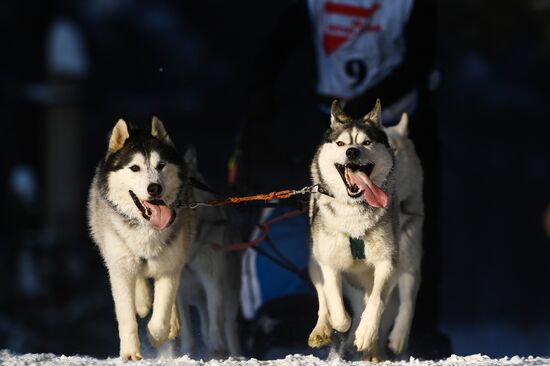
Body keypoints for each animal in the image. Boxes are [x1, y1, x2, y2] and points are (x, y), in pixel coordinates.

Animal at [87, 117, 197, 360]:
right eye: (134, 168)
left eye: (161, 165)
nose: (154, 188)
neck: (147, 228)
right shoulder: (119, 268)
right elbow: (126, 316)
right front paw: (130, 352)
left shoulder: (169, 266)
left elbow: (162, 311)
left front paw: (156, 336)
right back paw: (143, 301)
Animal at [177, 148, 244, 358]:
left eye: (190, 183)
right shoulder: (179, 288)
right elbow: (187, 330)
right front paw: (187, 353)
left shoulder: (213, 279)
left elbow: (216, 320)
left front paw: (218, 348)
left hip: (231, 291)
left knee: (229, 324)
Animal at [310, 99, 422, 360]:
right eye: (341, 144)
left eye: (367, 142)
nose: (352, 151)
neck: (355, 217)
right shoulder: (329, 262)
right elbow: (335, 304)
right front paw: (343, 325)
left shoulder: (390, 262)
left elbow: (379, 300)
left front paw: (367, 334)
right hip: (314, 260)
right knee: (323, 297)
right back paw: (323, 330)